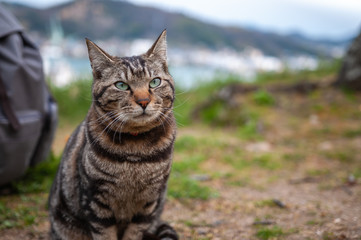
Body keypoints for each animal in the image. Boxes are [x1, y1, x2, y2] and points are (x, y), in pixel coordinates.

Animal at [47, 30, 177, 240]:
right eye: (121, 85)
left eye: (155, 82)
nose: (143, 101)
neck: (135, 150)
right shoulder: (96, 201)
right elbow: (104, 234)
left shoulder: (149, 202)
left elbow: (134, 233)